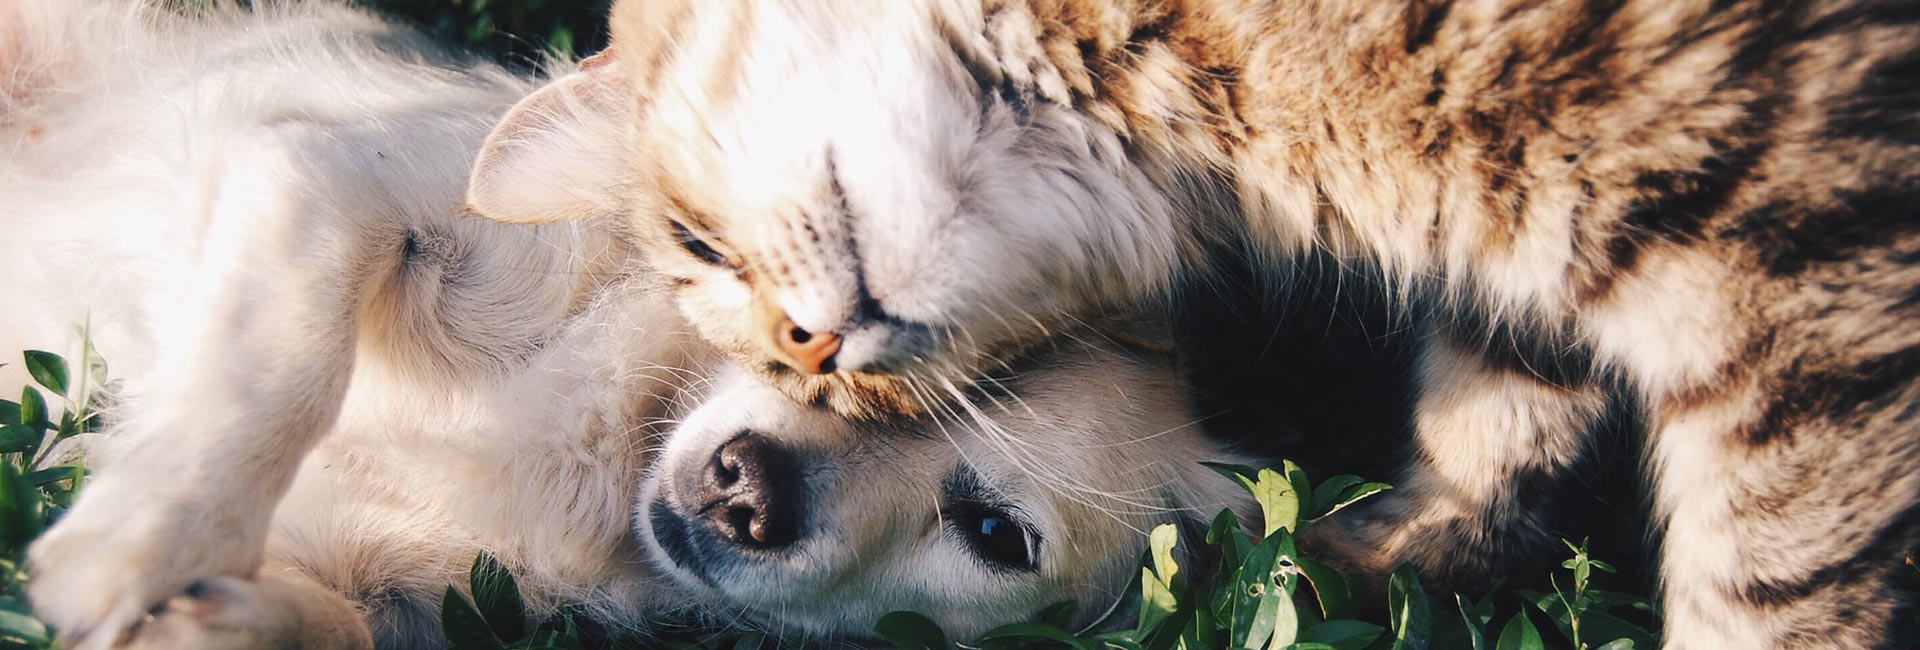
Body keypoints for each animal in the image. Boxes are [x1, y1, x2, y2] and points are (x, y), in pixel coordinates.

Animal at [3, 2, 1259, 648]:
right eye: (808, 344)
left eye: (996, 534)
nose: (748, 488)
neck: (612, 447)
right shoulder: (332, 173)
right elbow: (277, 370)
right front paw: (141, 537)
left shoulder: (387, 593)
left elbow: (334, 623)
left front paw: (199, 612)